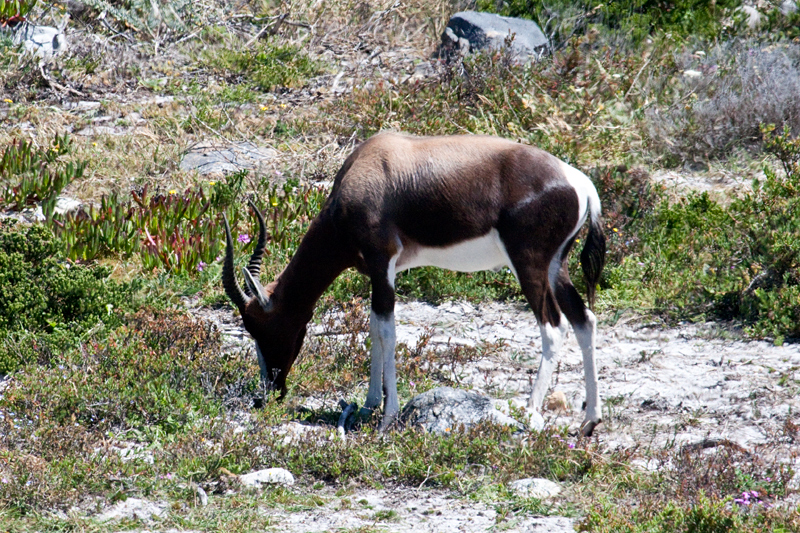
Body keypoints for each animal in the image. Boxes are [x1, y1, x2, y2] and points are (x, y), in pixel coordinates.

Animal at [220, 131, 608, 434]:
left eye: (260, 327)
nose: (268, 393)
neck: (368, 166)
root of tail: (580, 182)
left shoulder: (382, 264)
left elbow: (387, 332)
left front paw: (387, 417)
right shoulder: (382, 273)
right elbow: (374, 329)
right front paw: (368, 405)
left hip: (529, 265)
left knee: (553, 327)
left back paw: (529, 414)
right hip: (556, 267)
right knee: (584, 320)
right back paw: (589, 421)